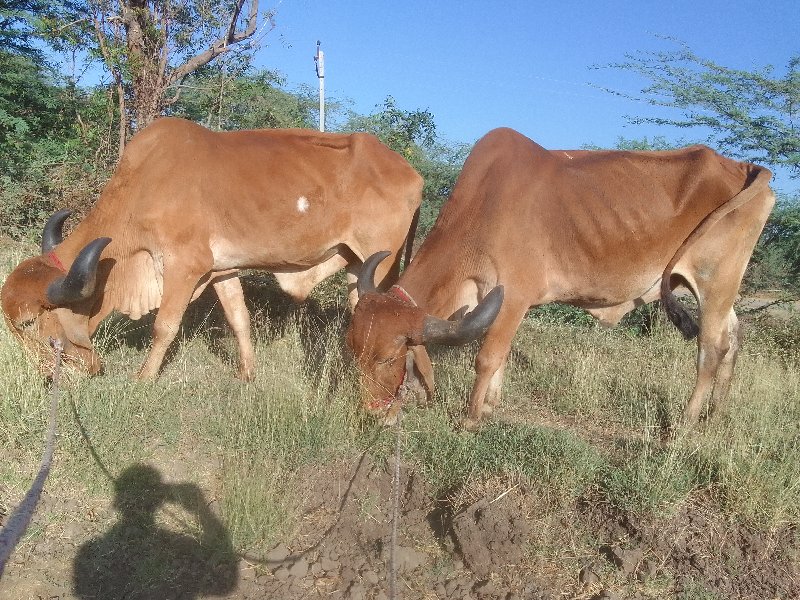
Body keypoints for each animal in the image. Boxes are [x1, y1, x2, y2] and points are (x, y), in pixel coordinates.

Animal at [1, 118, 424, 380]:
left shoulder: (184, 265)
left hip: (377, 266)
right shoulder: (222, 270)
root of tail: (412, 173)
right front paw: (247, 374)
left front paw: (143, 378)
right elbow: (239, 320)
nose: (46, 376)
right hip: (356, 266)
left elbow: (164, 325)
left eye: (28, 323)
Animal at [350, 126, 776, 428]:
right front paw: (489, 409)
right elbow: (501, 356)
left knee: (710, 349)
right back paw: (715, 416)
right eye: (352, 350)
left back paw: (685, 425)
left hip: (714, 283)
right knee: (732, 338)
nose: (373, 413)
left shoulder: (513, 296)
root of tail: (742, 167)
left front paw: (470, 419)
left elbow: (488, 358)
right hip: (723, 290)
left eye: (389, 358)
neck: (482, 209)